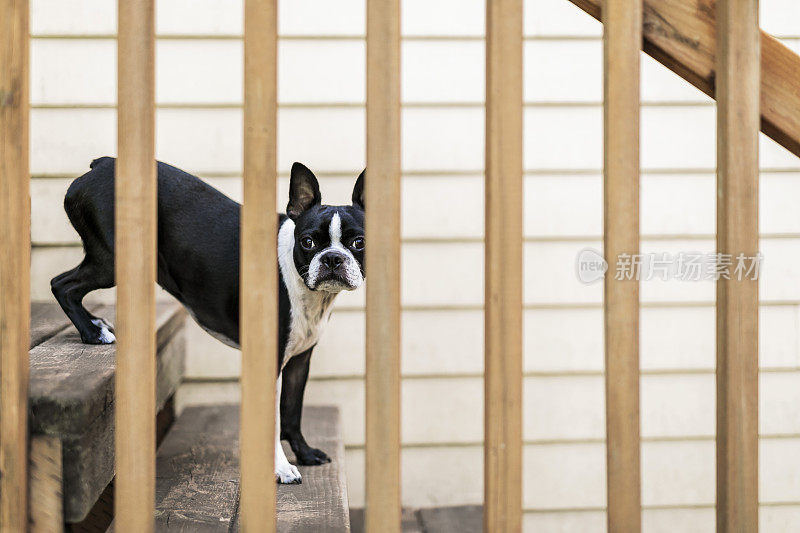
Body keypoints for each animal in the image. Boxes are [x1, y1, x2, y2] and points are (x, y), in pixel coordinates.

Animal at [54, 157, 368, 482]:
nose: (332, 258)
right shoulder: (268, 363)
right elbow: (273, 420)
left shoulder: (299, 361)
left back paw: (94, 325)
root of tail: (103, 163)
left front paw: (305, 454)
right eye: (307, 242)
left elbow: (292, 412)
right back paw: (92, 332)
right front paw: (281, 468)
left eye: (359, 242)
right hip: (112, 260)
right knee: (62, 284)